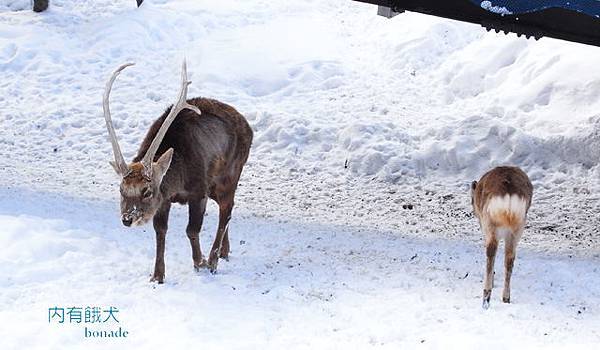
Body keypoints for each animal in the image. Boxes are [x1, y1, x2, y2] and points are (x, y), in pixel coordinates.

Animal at [103, 60, 253, 284]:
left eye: (147, 191)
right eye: (121, 190)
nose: (127, 219)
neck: (178, 183)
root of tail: (249, 128)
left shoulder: (199, 190)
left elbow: (192, 229)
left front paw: (200, 262)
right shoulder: (164, 199)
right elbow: (160, 231)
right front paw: (157, 275)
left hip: (230, 174)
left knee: (227, 210)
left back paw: (214, 259)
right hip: (215, 187)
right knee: (226, 210)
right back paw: (224, 252)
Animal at [472, 165, 532, 308]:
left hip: (490, 224)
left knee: (491, 252)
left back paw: (486, 297)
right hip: (518, 228)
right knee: (509, 258)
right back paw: (506, 298)